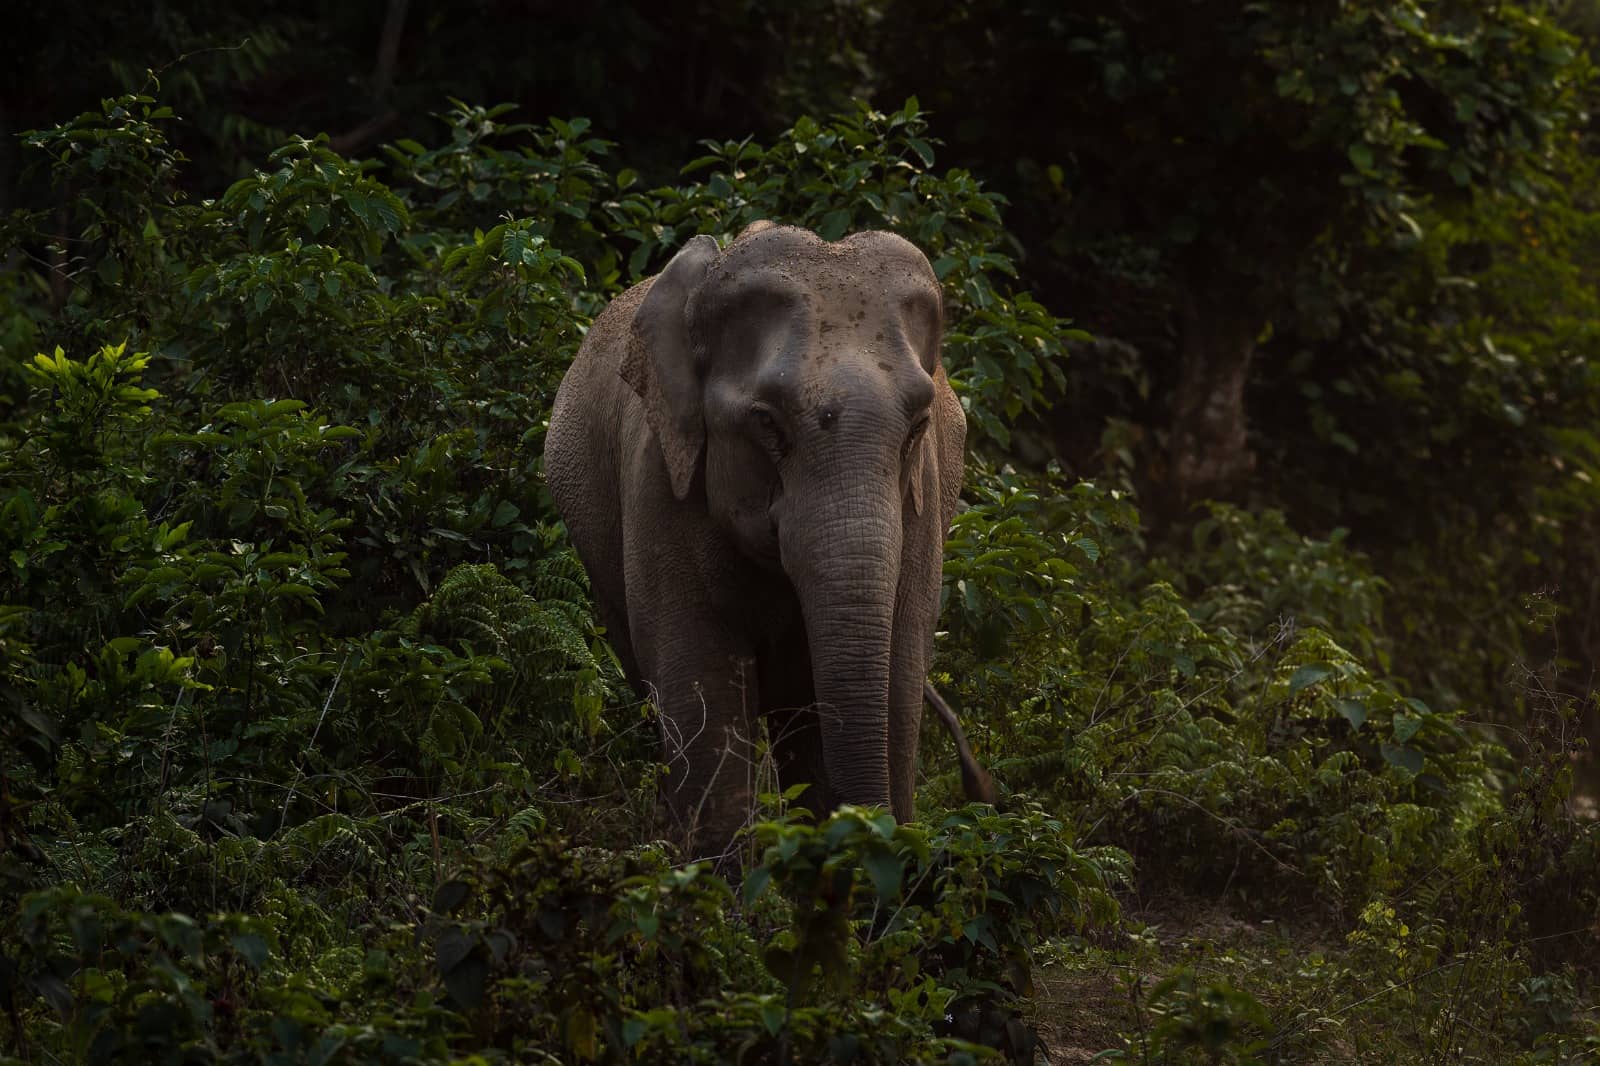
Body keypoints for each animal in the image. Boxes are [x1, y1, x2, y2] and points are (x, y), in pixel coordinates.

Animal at [544, 217, 979, 857]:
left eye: (918, 426)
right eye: (767, 423)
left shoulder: (923, 507)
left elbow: (897, 677)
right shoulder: (660, 482)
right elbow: (698, 687)